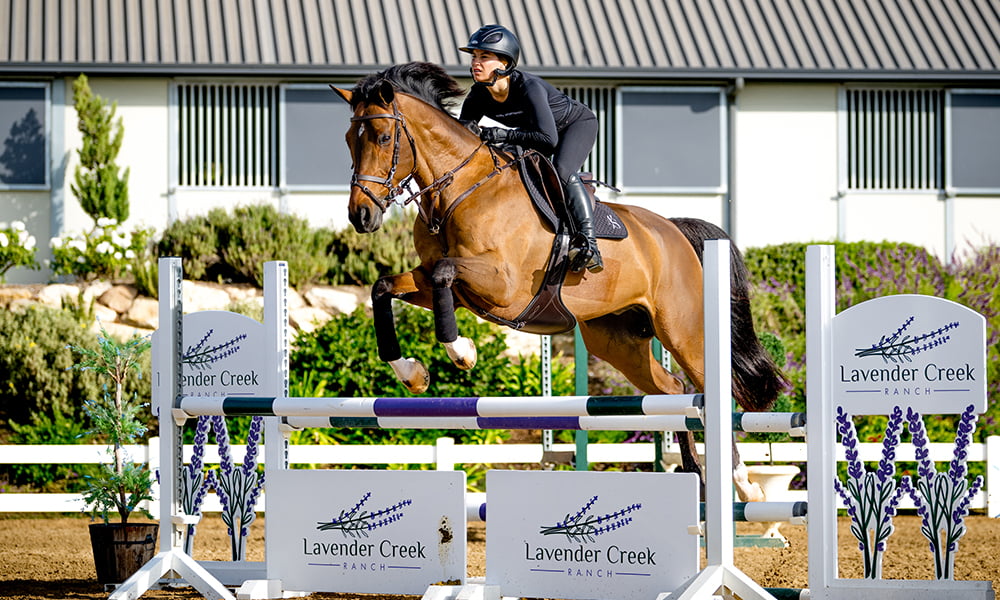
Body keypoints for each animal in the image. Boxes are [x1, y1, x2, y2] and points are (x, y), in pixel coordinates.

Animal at [331, 62, 786, 502]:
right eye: (349, 140)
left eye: (383, 137)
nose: (360, 216)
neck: (460, 190)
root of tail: (673, 230)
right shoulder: (439, 285)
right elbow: (383, 287)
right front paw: (412, 374)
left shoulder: (503, 286)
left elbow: (445, 273)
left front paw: (463, 353)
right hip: (615, 340)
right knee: (673, 390)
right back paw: (696, 476)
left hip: (683, 329)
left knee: (710, 389)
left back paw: (742, 483)